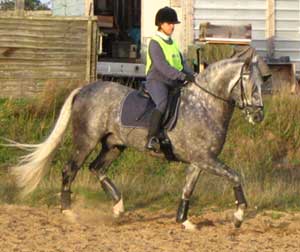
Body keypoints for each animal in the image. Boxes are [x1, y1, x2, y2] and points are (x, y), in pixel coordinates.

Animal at [9, 56, 264, 229]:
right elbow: (235, 176)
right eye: (251, 85)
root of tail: (84, 89)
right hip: (86, 140)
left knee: (96, 168)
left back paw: (118, 208)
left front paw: (184, 221)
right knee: (70, 170)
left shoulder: (199, 161)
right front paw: (239, 217)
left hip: (114, 145)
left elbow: (187, 189)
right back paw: (69, 212)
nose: (258, 116)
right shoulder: (206, 159)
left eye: (263, 84)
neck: (204, 104)